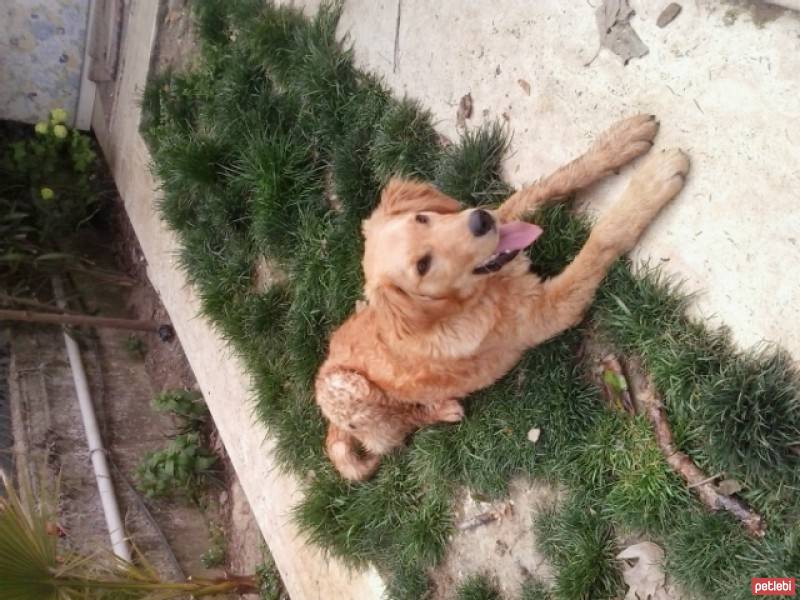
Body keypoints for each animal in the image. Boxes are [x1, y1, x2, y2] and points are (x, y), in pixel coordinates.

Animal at [316, 112, 692, 480]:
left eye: (422, 218)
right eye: (422, 266)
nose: (481, 221)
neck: (480, 291)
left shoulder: (506, 220)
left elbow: (548, 183)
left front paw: (616, 143)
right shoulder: (550, 310)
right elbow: (602, 238)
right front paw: (650, 185)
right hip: (349, 391)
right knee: (397, 431)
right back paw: (443, 408)